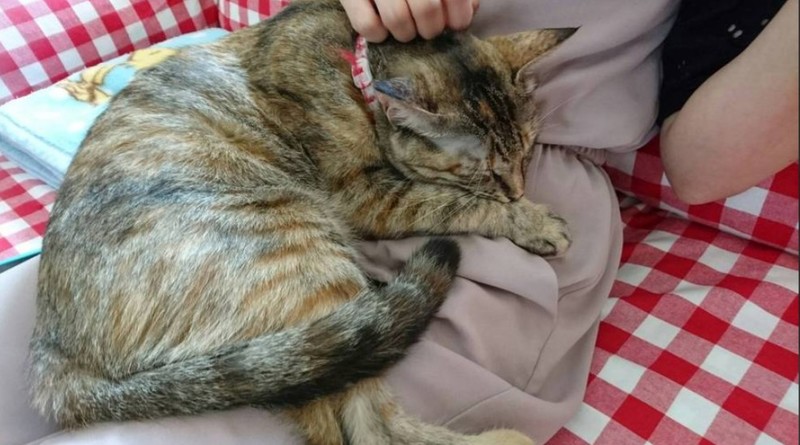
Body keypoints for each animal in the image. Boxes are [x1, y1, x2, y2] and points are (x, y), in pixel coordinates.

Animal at [29, 0, 573, 444]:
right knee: (370, 424)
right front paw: (531, 220)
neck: (354, 66)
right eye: (485, 170)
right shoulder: (368, 199)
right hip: (299, 252)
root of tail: (54, 357)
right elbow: (455, 203)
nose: (518, 188)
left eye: (527, 152)